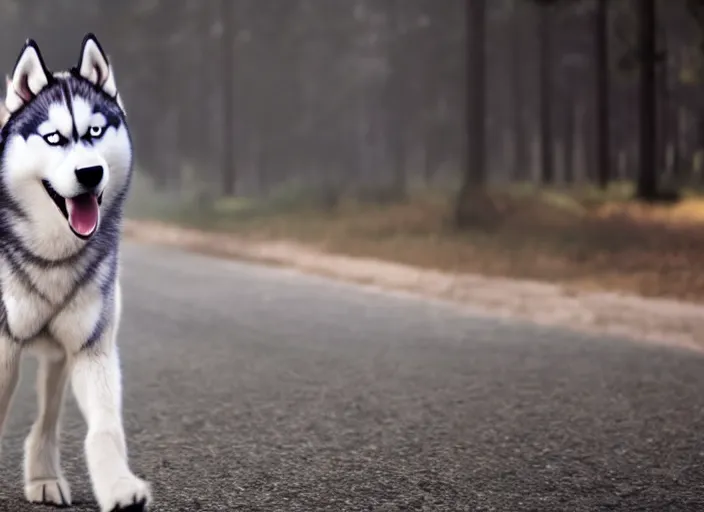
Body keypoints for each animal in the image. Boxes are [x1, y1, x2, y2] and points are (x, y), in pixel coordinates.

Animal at [0, 34, 151, 510]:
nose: (90, 172)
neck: (53, 256)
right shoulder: (3, 348)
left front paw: (119, 486)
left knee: (48, 415)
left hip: (58, 357)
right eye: (53, 138)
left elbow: (104, 430)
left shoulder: (92, 349)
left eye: (95, 132)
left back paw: (43, 476)